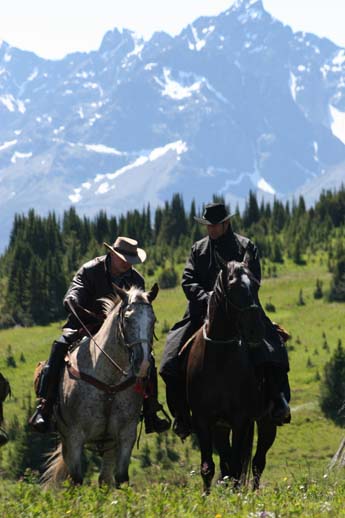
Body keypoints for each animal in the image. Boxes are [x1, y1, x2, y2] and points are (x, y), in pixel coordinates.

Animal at [185, 262, 276, 494]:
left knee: (257, 462)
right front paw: (205, 497)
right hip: (221, 427)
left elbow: (236, 466)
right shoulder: (203, 419)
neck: (219, 358)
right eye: (234, 287)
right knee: (227, 462)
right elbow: (208, 467)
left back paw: (253, 493)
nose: (256, 330)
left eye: (256, 284)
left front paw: (237, 498)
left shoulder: (240, 419)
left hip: (266, 421)